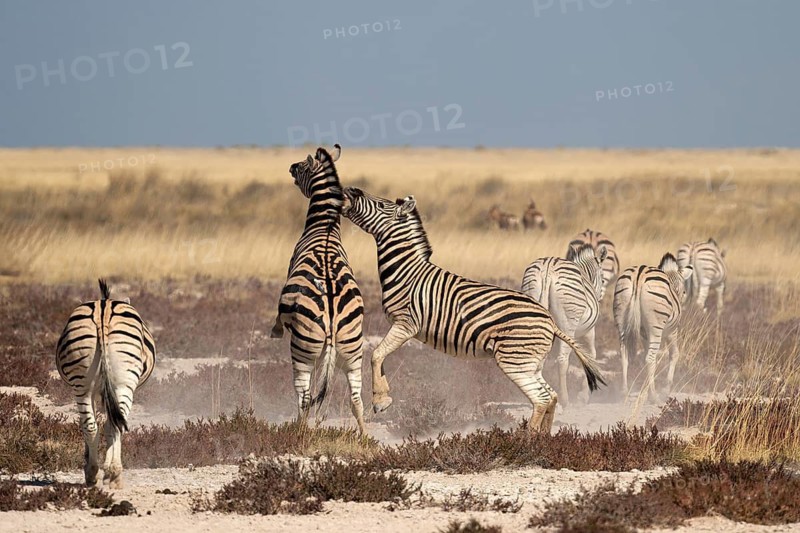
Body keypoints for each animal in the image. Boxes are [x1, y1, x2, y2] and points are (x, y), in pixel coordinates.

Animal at [55, 279, 155, 488]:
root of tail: (104, 309)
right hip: (123, 385)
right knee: (114, 425)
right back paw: (114, 475)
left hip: (84, 385)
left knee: (92, 425)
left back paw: (93, 473)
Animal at [270, 144, 366, 434]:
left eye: (302, 166)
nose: (290, 167)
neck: (325, 226)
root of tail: (333, 314)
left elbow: (278, 314)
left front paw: (275, 330)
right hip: (352, 350)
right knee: (356, 398)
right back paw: (365, 437)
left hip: (302, 350)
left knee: (304, 397)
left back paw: (298, 432)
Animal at [521, 243, 607, 407]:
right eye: (603, 280)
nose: (600, 297)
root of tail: (547, 270)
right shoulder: (588, 331)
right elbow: (590, 355)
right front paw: (584, 396)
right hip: (569, 324)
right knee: (562, 359)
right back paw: (565, 400)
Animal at [613, 254, 693, 401]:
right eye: (684, 292)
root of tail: (638, 276)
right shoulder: (672, 331)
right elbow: (674, 354)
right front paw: (665, 389)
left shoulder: (644, 334)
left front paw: (646, 388)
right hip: (656, 327)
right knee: (649, 358)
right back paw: (654, 396)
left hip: (621, 318)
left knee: (624, 354)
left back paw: (624, 391)